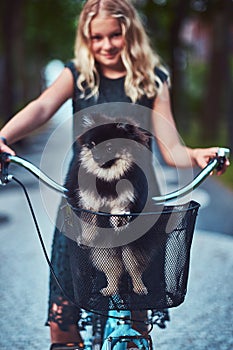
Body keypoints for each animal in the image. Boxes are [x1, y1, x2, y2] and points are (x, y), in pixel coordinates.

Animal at [65, 114, 153, 296]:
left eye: (109, 147)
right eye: (92, 145)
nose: (97, 157)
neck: (107, 178)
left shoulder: (126, 197)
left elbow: (120, 209)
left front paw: (119, 220)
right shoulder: (88, 200)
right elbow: (89, 221)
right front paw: (85, 238)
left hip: (130, 247)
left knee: (133, 268)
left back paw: (139, 287)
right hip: (104, 250)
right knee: (114, 270)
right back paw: (110, 289)